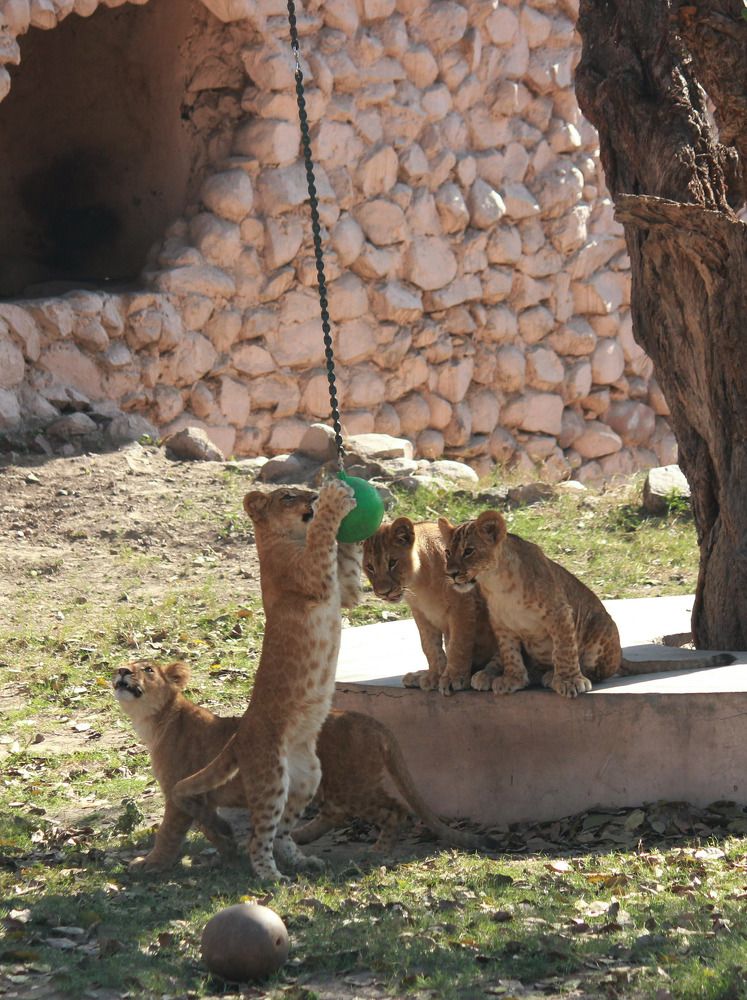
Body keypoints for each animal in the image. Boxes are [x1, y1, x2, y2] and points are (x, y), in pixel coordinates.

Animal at [113, 660, 483, 867]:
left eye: (147, 669)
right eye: (125, 664)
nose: (121, 671)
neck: (155, 723)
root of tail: (369, 719)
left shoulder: (178, 794)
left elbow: (168, 833)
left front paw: (149, 864)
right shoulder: (200, 795)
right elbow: (208, 824)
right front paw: (228, 848)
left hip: (354, 785)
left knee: (395, 810)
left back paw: (377, 851)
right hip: (334, 784)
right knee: (337, 812)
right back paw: (299, 836)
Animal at [363, 518, 502, 695]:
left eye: (393, 562)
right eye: (370, 567)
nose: (383, 593)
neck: (418, 582)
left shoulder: (463, 605)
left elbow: (458, 645)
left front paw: (453, 678)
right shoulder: (421, 613)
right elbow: (430, 646)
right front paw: (434, 676)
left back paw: (486, 676)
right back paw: (417, 676)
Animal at [440, 509, 734, 698]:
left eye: (469, 551)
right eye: (447, 552)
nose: (451, 573)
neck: (496, 582)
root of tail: (621, 657)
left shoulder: (560, 613)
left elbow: (565, 650)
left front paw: (570, 681)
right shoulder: (503, 627)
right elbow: (511, 655)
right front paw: (512, 680)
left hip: (601, 626)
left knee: (598, 669)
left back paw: (553, 676)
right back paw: (486, 675)